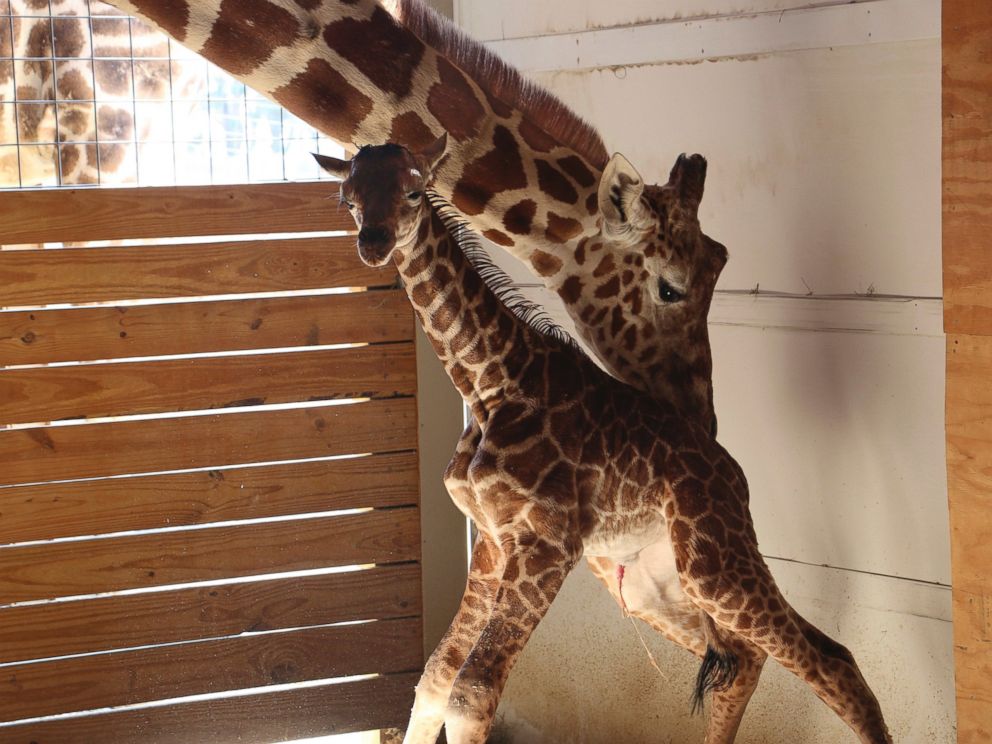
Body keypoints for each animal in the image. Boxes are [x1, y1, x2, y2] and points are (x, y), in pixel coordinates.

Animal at [316, 138, 892, 744]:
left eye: (412, 190)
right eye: (347, 199)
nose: (373, 243)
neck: (489, 382)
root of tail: (735, 477)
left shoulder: (547, 541)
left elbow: (471, 694)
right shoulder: (493, 540)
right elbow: (435, 678)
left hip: (714, 563)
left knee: (830, 661)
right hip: (653, 583)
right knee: (748, 659)